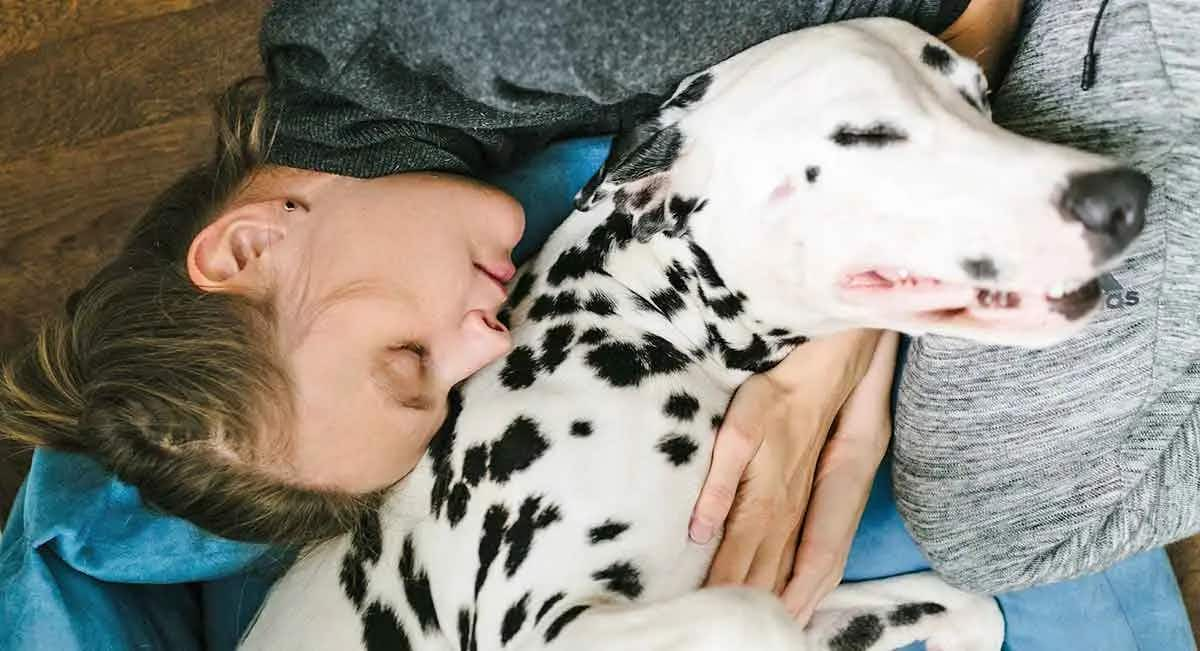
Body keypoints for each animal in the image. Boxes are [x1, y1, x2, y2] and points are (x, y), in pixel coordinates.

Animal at [238, 16, 1147, 651]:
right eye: (867, 136)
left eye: (979, 98)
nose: (1125, 196)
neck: (627, 320)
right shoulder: (538, 622)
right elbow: (755, 617)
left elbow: (968, 605)